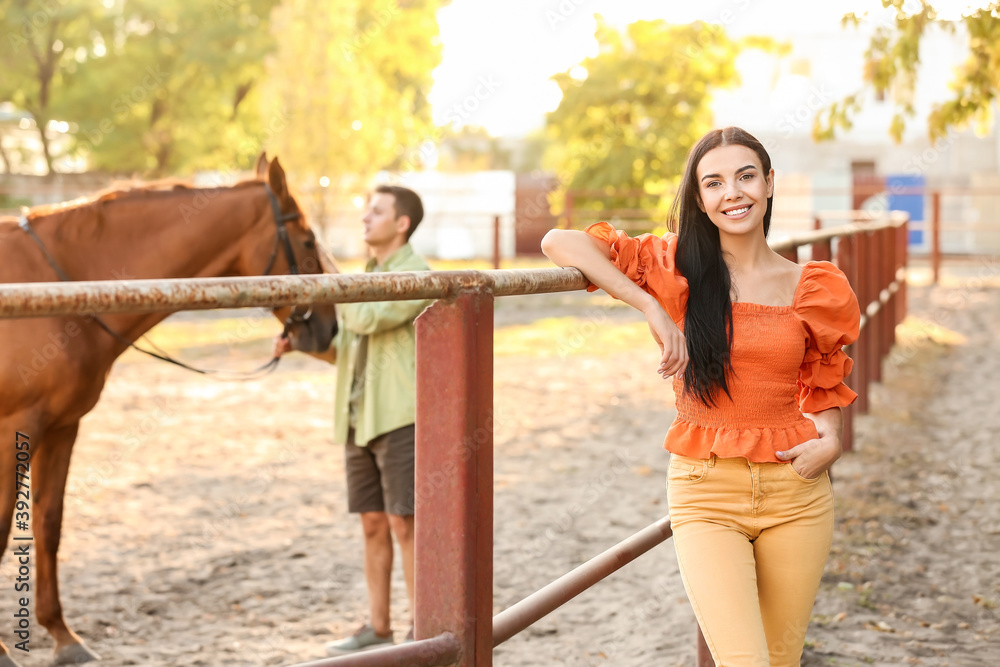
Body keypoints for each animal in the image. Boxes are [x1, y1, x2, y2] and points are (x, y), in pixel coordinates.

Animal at [0, 155, 338, 664]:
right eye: (307, 240)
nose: (329, 329)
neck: (57, 289)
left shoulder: (61, 427)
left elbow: (49, 523)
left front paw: (63, 636)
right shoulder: (15, 429)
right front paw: (4, 648)